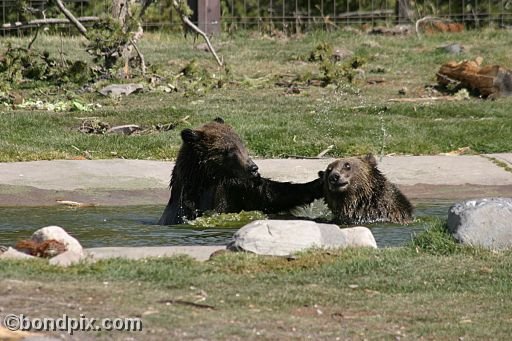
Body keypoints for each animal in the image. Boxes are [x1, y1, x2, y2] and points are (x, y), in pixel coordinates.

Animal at [158, 118, 322, 224]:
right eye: (228, 150)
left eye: (241, 144)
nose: (253, 168)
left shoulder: (237, 188)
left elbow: (271, 194)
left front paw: (316, 184)